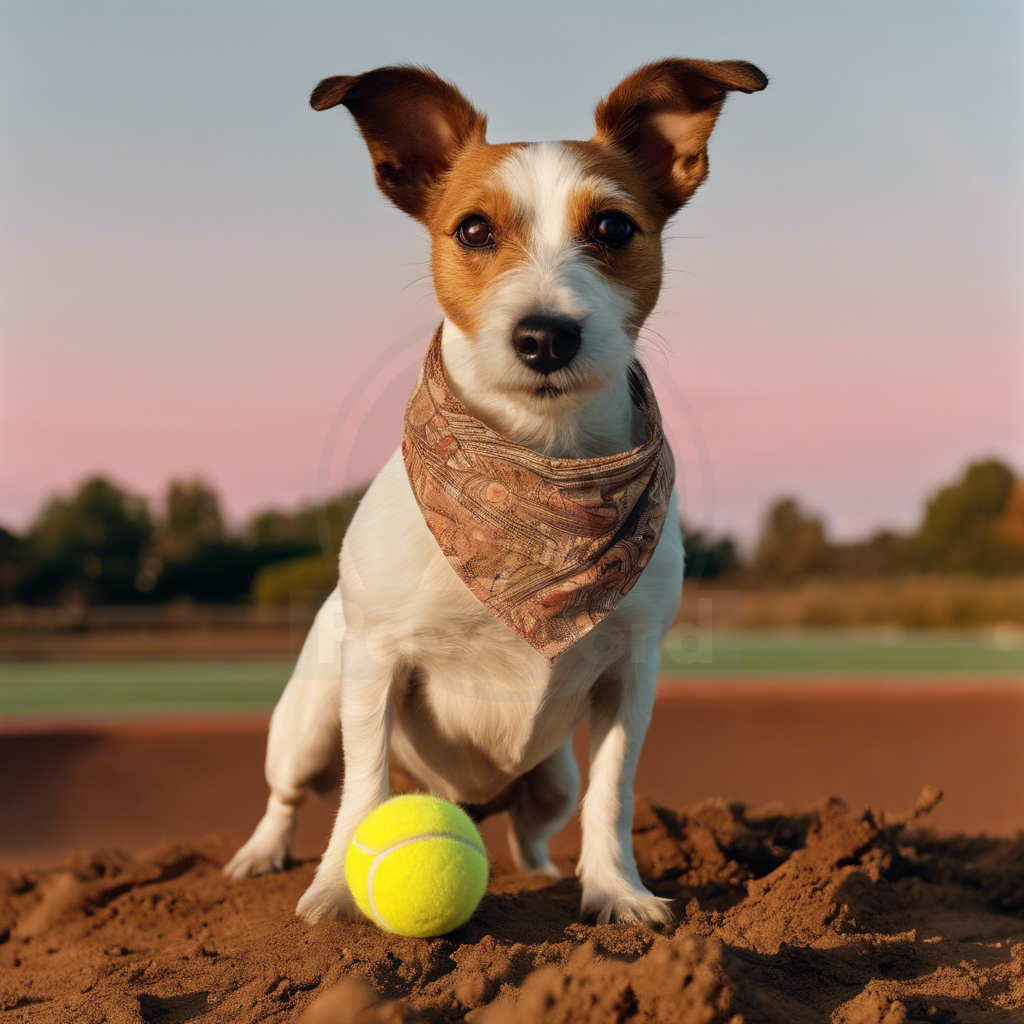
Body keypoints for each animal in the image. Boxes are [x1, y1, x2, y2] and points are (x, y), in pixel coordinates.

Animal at [226, 56, 770, 925]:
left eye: (613, 228)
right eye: (474, 230)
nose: (546, 335)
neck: (537, 463)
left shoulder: (631, 674)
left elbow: (615, 796)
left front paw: (615, 891)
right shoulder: (375, 663)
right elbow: (363, 789)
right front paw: (338, 892)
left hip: (551, 779)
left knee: (532, 828)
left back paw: (544, 872)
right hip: (307, 722)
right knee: (290, 792)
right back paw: (259, 856)